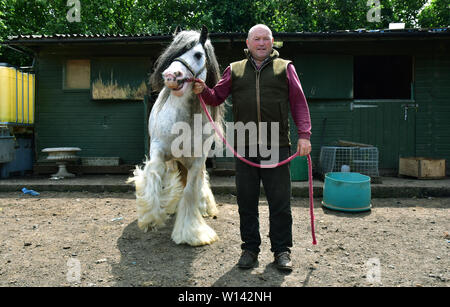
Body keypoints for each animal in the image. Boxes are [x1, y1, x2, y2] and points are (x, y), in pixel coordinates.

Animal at [126, 26, 225, 248]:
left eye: (198, 55)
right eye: (172, 53)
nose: (171, 75)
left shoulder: (197, 160)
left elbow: (190, 190)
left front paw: (192, 233)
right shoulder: (158, 151)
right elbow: (154, 174)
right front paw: (150, 218)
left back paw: (203, 207)